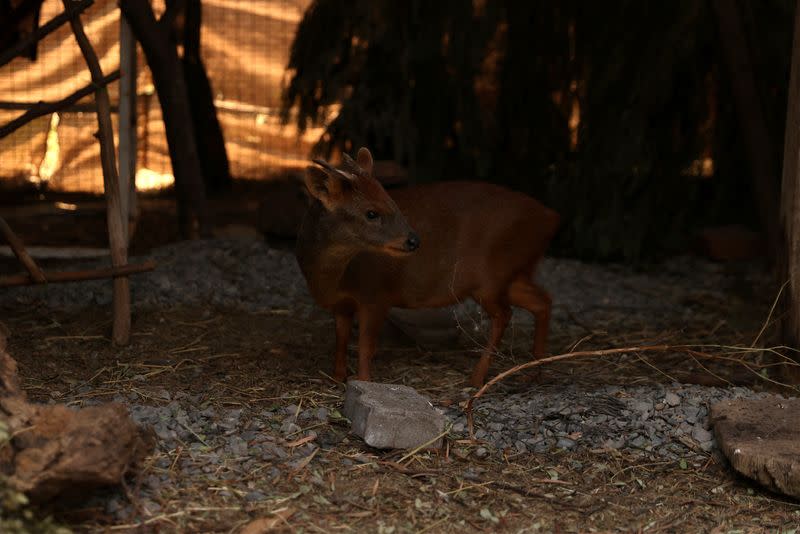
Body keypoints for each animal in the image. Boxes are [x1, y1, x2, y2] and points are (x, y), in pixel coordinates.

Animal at [294, 149, 556, 388]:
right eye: (371, 213)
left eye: (392, 202)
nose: (413, 240)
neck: (334, 278)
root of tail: (551, 218)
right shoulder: (341, 305)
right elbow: (340, 339)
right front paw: (337, 377)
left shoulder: (376, 295)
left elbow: (365, 345)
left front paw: (363, 382)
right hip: (510, 274)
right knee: (542, 300)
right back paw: (536, 371)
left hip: (491, 277)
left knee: (505, 314)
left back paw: (477, 379)